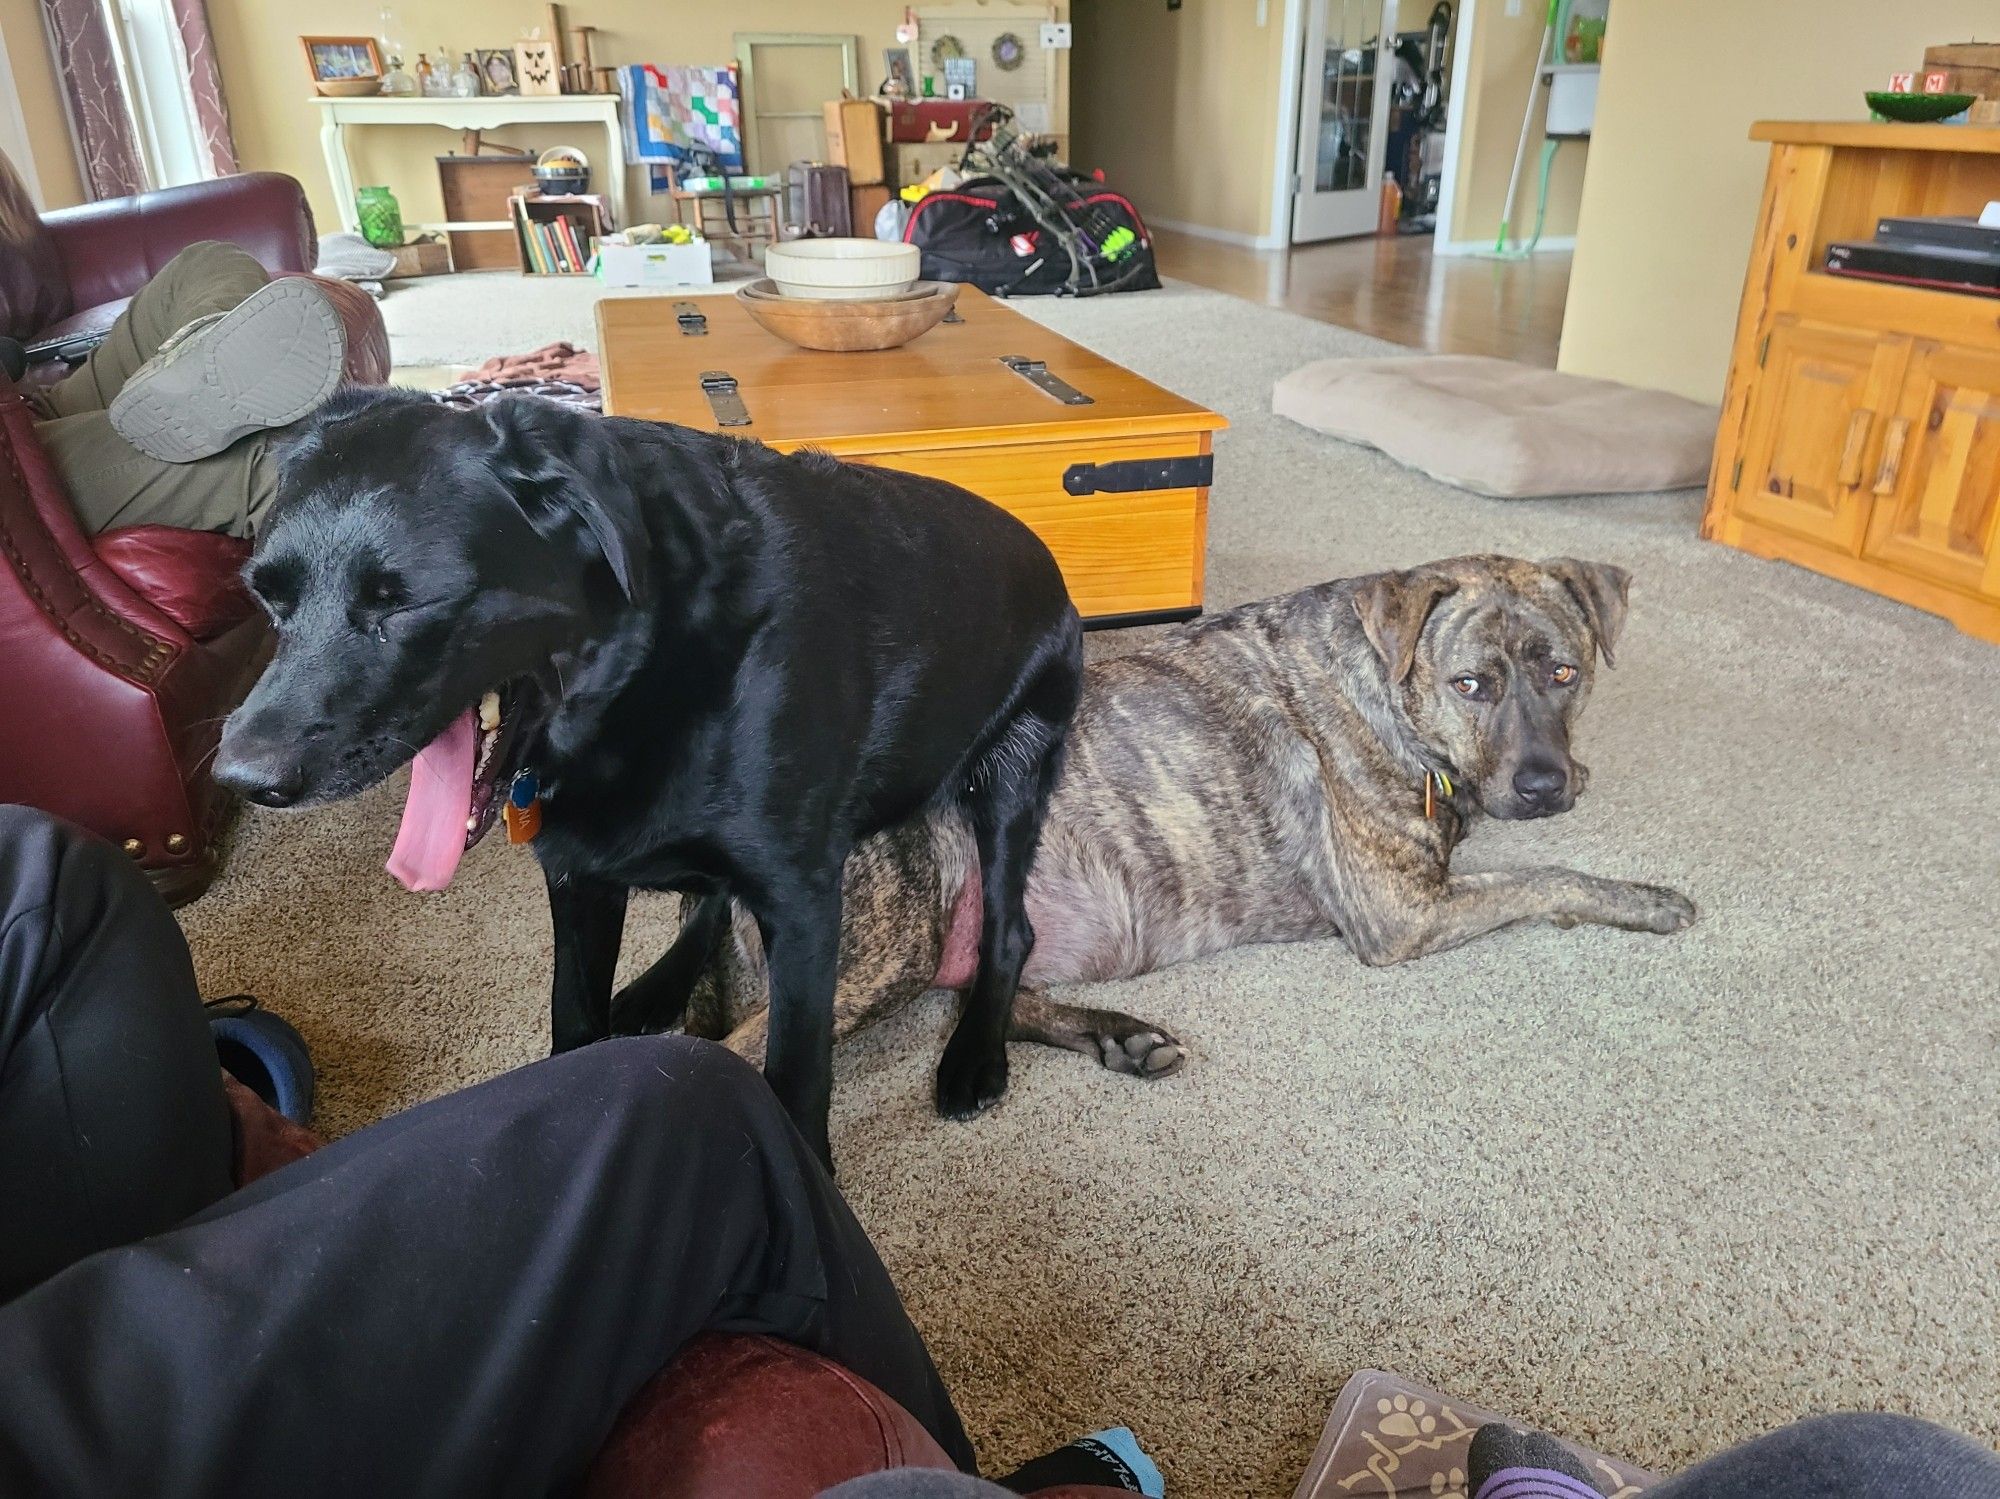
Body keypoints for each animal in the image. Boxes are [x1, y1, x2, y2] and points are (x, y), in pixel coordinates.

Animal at [217, 389, 1080, 1159]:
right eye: (266, 597)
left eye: (402, 603)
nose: (239, 777)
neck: (645, 665)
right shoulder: (580, 881)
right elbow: (575, 1015)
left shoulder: (802, 901)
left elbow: (796, 1074)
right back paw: (658, 986)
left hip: (1012, 775)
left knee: (1010, 927)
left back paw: (975, 1054)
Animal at [632, 559, 1696, 1071]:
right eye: (1471, 683)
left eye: (1567, 672)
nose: (1546, 784)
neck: (1390, 694)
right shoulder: (1402, 916)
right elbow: (1545, 877)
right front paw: (1643, 899)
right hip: (888, 941)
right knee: (725, 1053)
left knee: (987, 999)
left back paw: (1116, 1037)